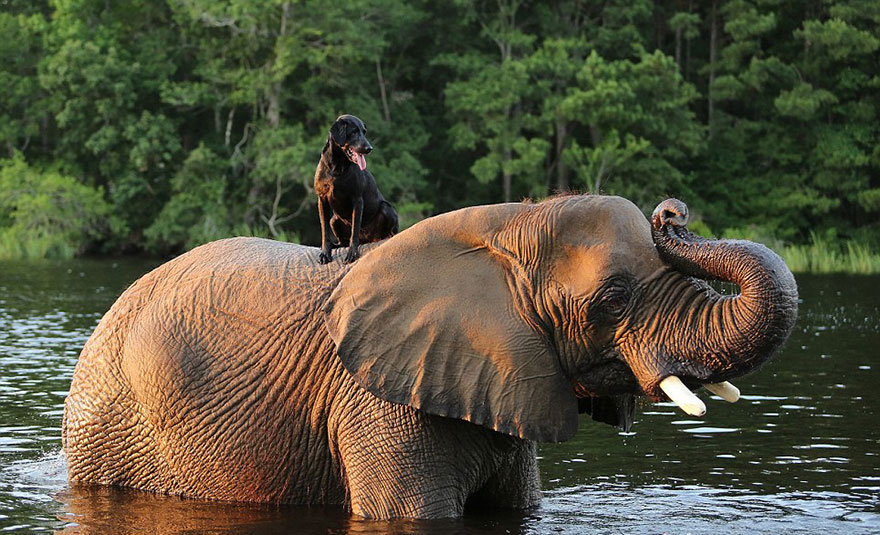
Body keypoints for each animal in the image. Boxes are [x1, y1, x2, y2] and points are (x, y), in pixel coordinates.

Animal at [314, 115, 398, 264]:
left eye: (364, 132)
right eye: (353, 132)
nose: (369, 148)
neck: (337, 166)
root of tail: (369, 239)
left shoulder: (357, 199)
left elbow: (355, 229)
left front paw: (352, 254)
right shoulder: (322, 199)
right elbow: (324, 231)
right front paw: (325, 253)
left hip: (386, 208)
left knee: (393, 232)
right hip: (334, 220)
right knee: (342, 242)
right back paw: (335, 246)